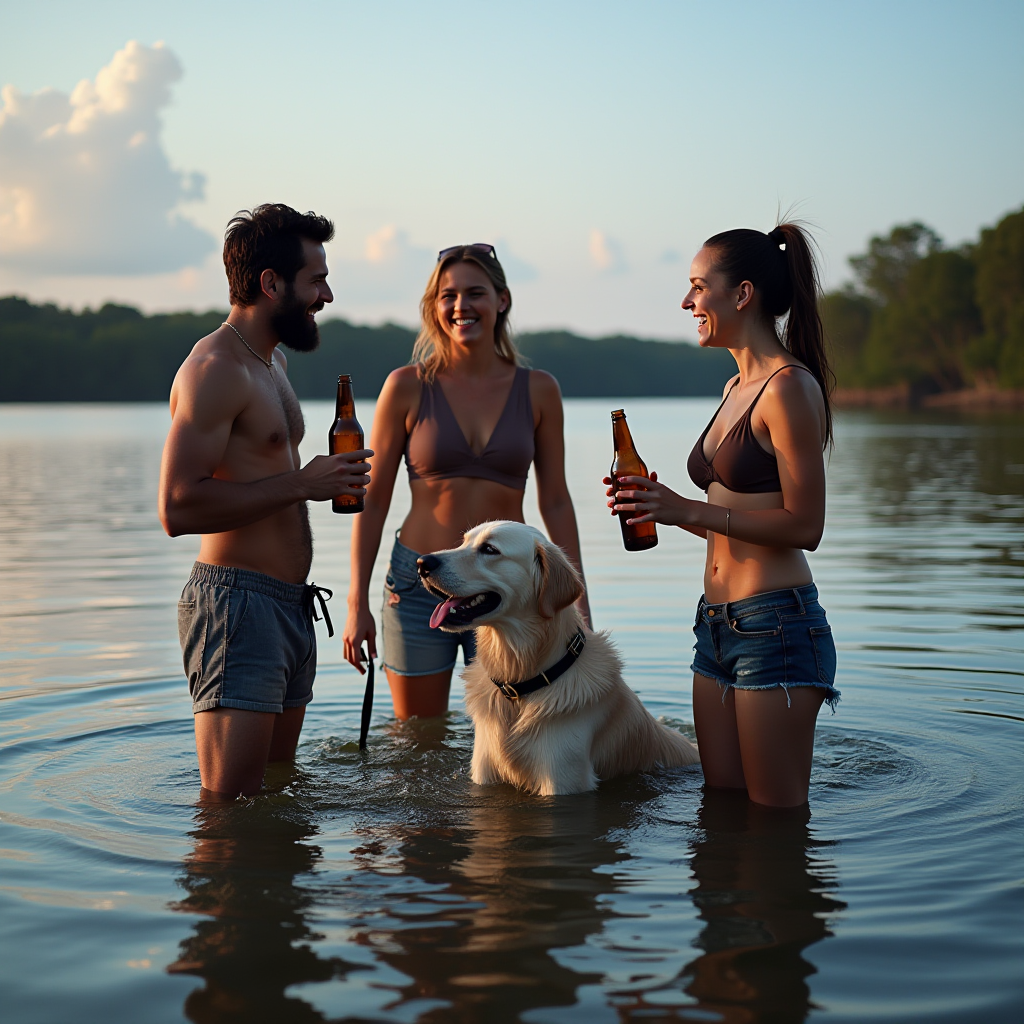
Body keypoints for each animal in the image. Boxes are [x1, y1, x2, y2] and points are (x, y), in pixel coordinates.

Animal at [413, 524, 696, 794]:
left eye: (490, 549)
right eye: (463, 542)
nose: (422, 563)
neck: (519, 688)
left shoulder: (563, 776)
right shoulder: (484, 772)